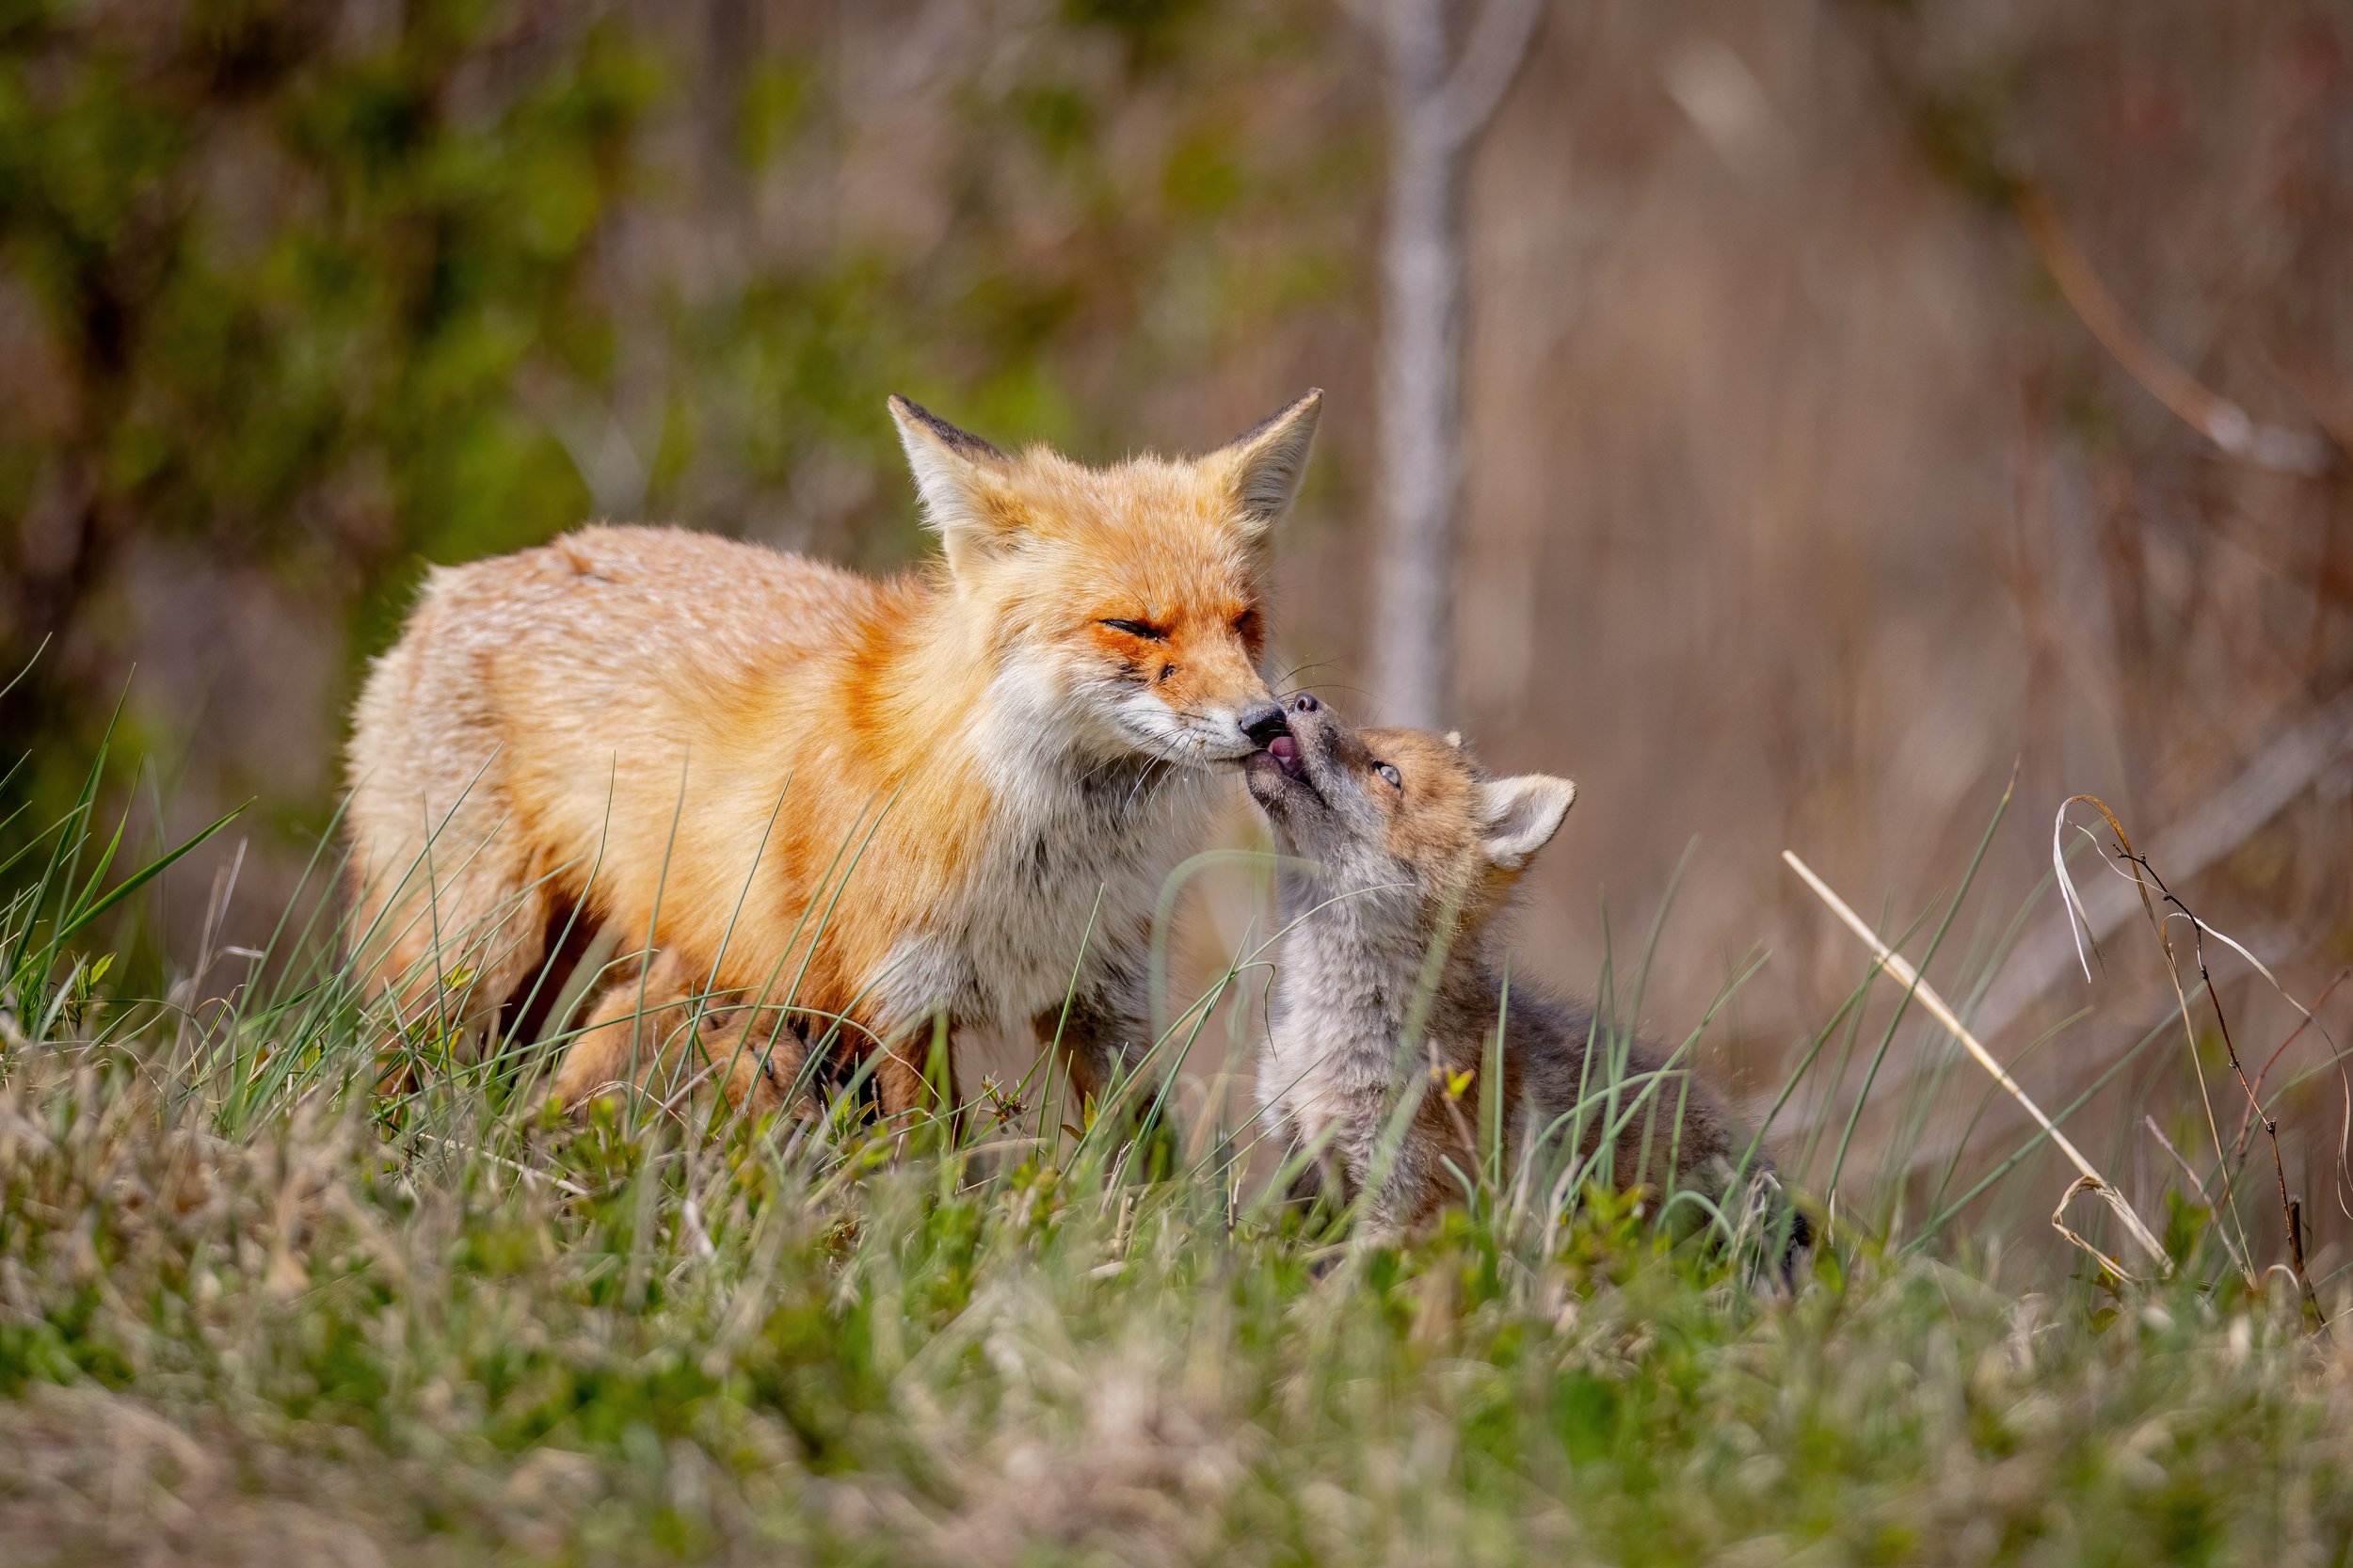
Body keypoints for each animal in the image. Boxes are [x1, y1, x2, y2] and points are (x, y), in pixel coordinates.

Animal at [345, 389, 1323, 1117]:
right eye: (1134, 626)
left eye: (1243, 622)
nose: (1265, 722)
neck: (1044, 862)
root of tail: (451, 585)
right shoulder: (900, 1008)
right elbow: (931, 1186)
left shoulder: (1107, 1004)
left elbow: (1151, 1178)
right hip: (479, 951)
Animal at [1244, 695, 1806, 1258]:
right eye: (1364, 731)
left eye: (1387, 772)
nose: (1301, 701)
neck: (1322, 1033)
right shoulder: (1302, 1170)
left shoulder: (1404, 1199)